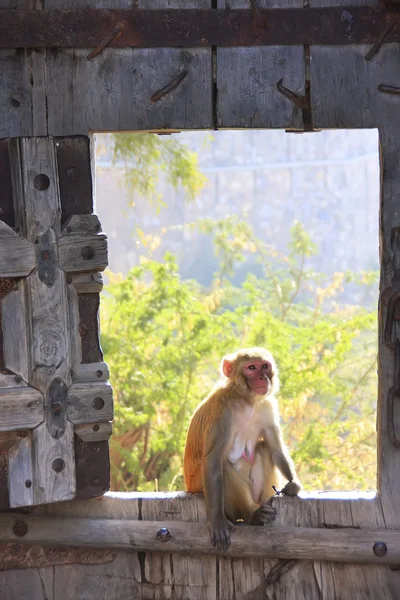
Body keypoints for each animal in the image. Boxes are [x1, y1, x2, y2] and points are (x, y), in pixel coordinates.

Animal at [184, 350, 300, 552]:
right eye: (251, 367)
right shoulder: (222, 413)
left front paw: (293, 484)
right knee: (221, 465)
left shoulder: (267, 405)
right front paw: (217, 522)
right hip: (200, 485)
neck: (247, 400)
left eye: (264, 366)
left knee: (264, 447)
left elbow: (276, 448)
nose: (262, 377)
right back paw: (252, 516)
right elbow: (213, 459)